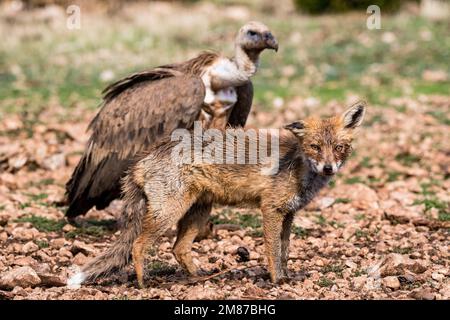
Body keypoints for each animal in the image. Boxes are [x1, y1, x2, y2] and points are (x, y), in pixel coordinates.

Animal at [69, 102, 366, 288]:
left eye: (339, 148)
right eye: (315, 147)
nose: (328, 168)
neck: (298, 166)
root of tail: (143, 158)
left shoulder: (289, 214)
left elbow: (284, 251)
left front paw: (286, 277)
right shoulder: (270, 210)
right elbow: (273, 251)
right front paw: (275, 281)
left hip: (198, 212)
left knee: (178, 248)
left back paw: (198, 278)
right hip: (169, 213)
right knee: (138, 246)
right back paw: (144, 284)